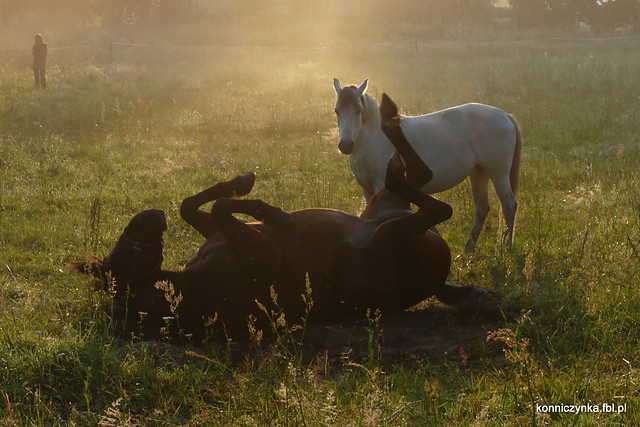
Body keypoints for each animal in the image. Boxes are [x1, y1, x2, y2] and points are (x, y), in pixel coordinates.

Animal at [72, 110, 488, 344]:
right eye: (126, 255)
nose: (150, 216)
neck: (186, 290)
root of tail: (438, 282)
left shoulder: (217, 234)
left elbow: (194, 204)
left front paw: (242, 182)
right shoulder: (261, 250)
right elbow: (223, 208)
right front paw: (272, 211)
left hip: (382, 207)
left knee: (420, 177)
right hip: (393, 230)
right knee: (435, 204)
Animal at [332, 79, 524, 252]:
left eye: (359, 110)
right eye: (337, 110)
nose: (346, 145)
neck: (375, 136)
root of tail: (505, 115)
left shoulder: (381, 187)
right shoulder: (367, 190)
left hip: (498, 174)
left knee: (509, 205)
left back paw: (506, 249)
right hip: (478, 172)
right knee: (482, 208)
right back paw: (467, 250)